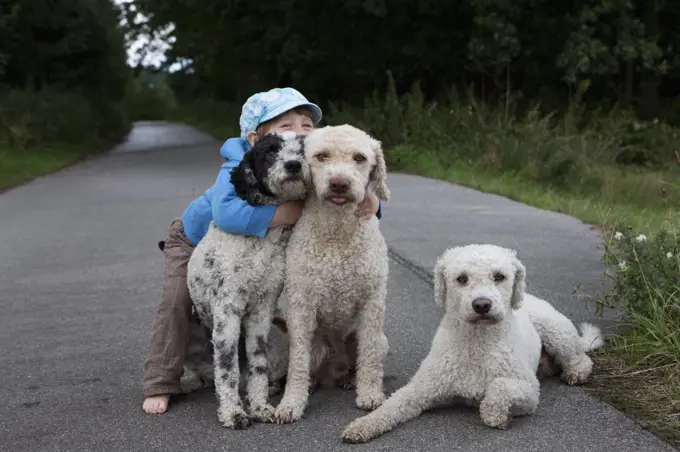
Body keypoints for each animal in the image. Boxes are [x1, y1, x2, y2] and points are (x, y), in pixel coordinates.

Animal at [185, 132, 310, 430]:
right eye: (270, 151)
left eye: (302, 148)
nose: (293, 165)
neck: (258, 246)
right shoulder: (227, 311)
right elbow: (227, 370)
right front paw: (233, 413)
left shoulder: (262, 310)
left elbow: (258, 364)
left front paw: (260, 407)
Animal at [274, 124, 394, 424]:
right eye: (321, 156)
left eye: (360, 158)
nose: (339, 183)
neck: (337, 234)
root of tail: (335, 368)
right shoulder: (301, 306)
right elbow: (298, 364)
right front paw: (291, 404)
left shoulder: (373, 303)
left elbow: (369, 358)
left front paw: (370, 393)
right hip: (312, 342)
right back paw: (312, 383)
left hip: (376, 340)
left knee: (363, 359)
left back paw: (352, 380)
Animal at [342, 244, 604, 442]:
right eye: (461, 278)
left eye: (499, 276)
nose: (482, 305)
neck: (477, 343)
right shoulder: (420, 389)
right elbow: (391, 407)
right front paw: (363, 425)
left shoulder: (529, 392)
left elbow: (499, 388)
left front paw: (495, 416)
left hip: (555, 330)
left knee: (581, 359)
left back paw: (575, 373)